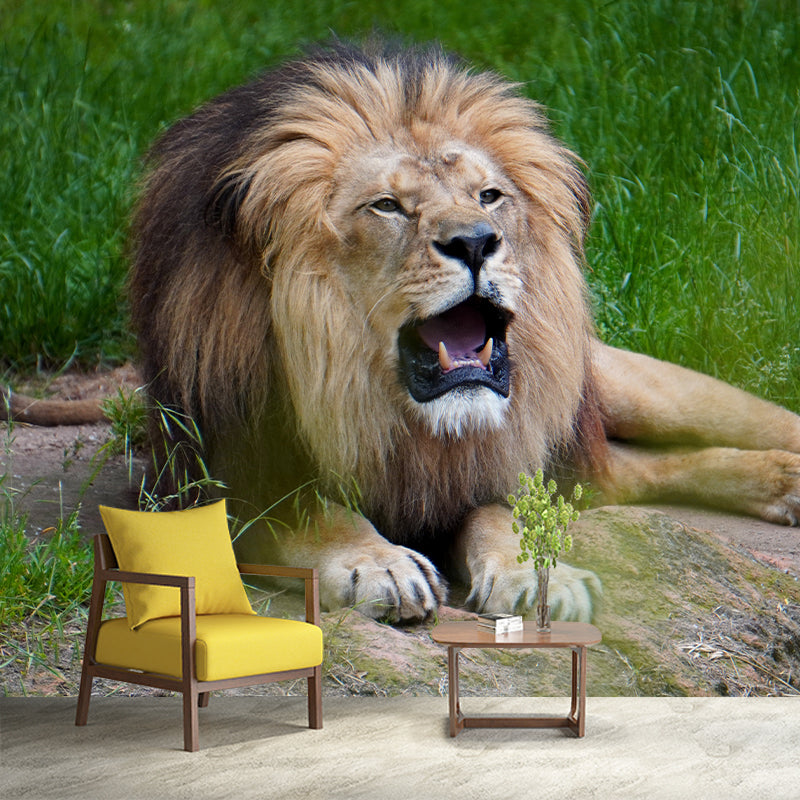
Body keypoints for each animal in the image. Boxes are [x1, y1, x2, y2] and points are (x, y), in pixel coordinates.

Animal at [100, 42, 800, 622]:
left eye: (489, 196)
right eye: (387, 206)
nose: (475, 242)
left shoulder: (498, 458)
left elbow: (499, 512)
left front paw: (532, 572)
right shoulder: (202, 484)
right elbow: (313, 513)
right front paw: (380, 564)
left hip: (619, 387)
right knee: (634, 473)